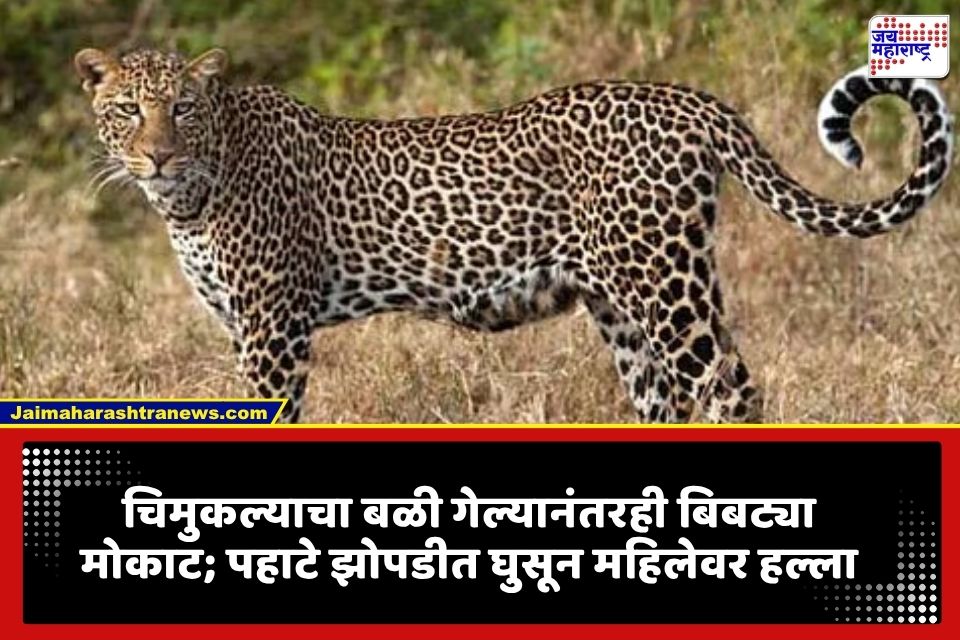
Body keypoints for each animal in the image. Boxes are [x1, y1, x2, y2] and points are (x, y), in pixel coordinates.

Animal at [74, 46, 954, 423]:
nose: (157, 155)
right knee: (665, 399)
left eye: (182, 109)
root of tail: (685, 98)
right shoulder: (242, 325)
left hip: (666, 284)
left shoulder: (272, 330)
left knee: (731, 388)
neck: (193, 193)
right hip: (619, 304)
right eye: (127, 111)